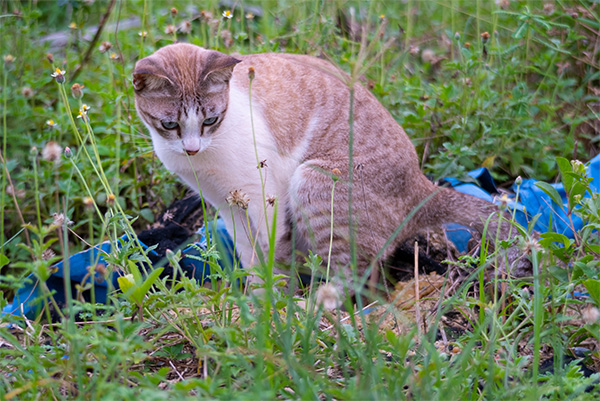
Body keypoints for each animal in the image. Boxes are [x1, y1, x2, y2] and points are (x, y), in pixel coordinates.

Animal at [132, 43, 528, 306]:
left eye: (210, 119)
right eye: (169, 125)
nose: (191, 147)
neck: (204, 158)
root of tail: (422, 187)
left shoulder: (262, 196)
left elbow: (273, 253)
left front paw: (274, 307)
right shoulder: (228, 205)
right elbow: (250, 256)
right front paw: (257, 302)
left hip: (313, 182)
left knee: (351, 277)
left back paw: (311, 308)